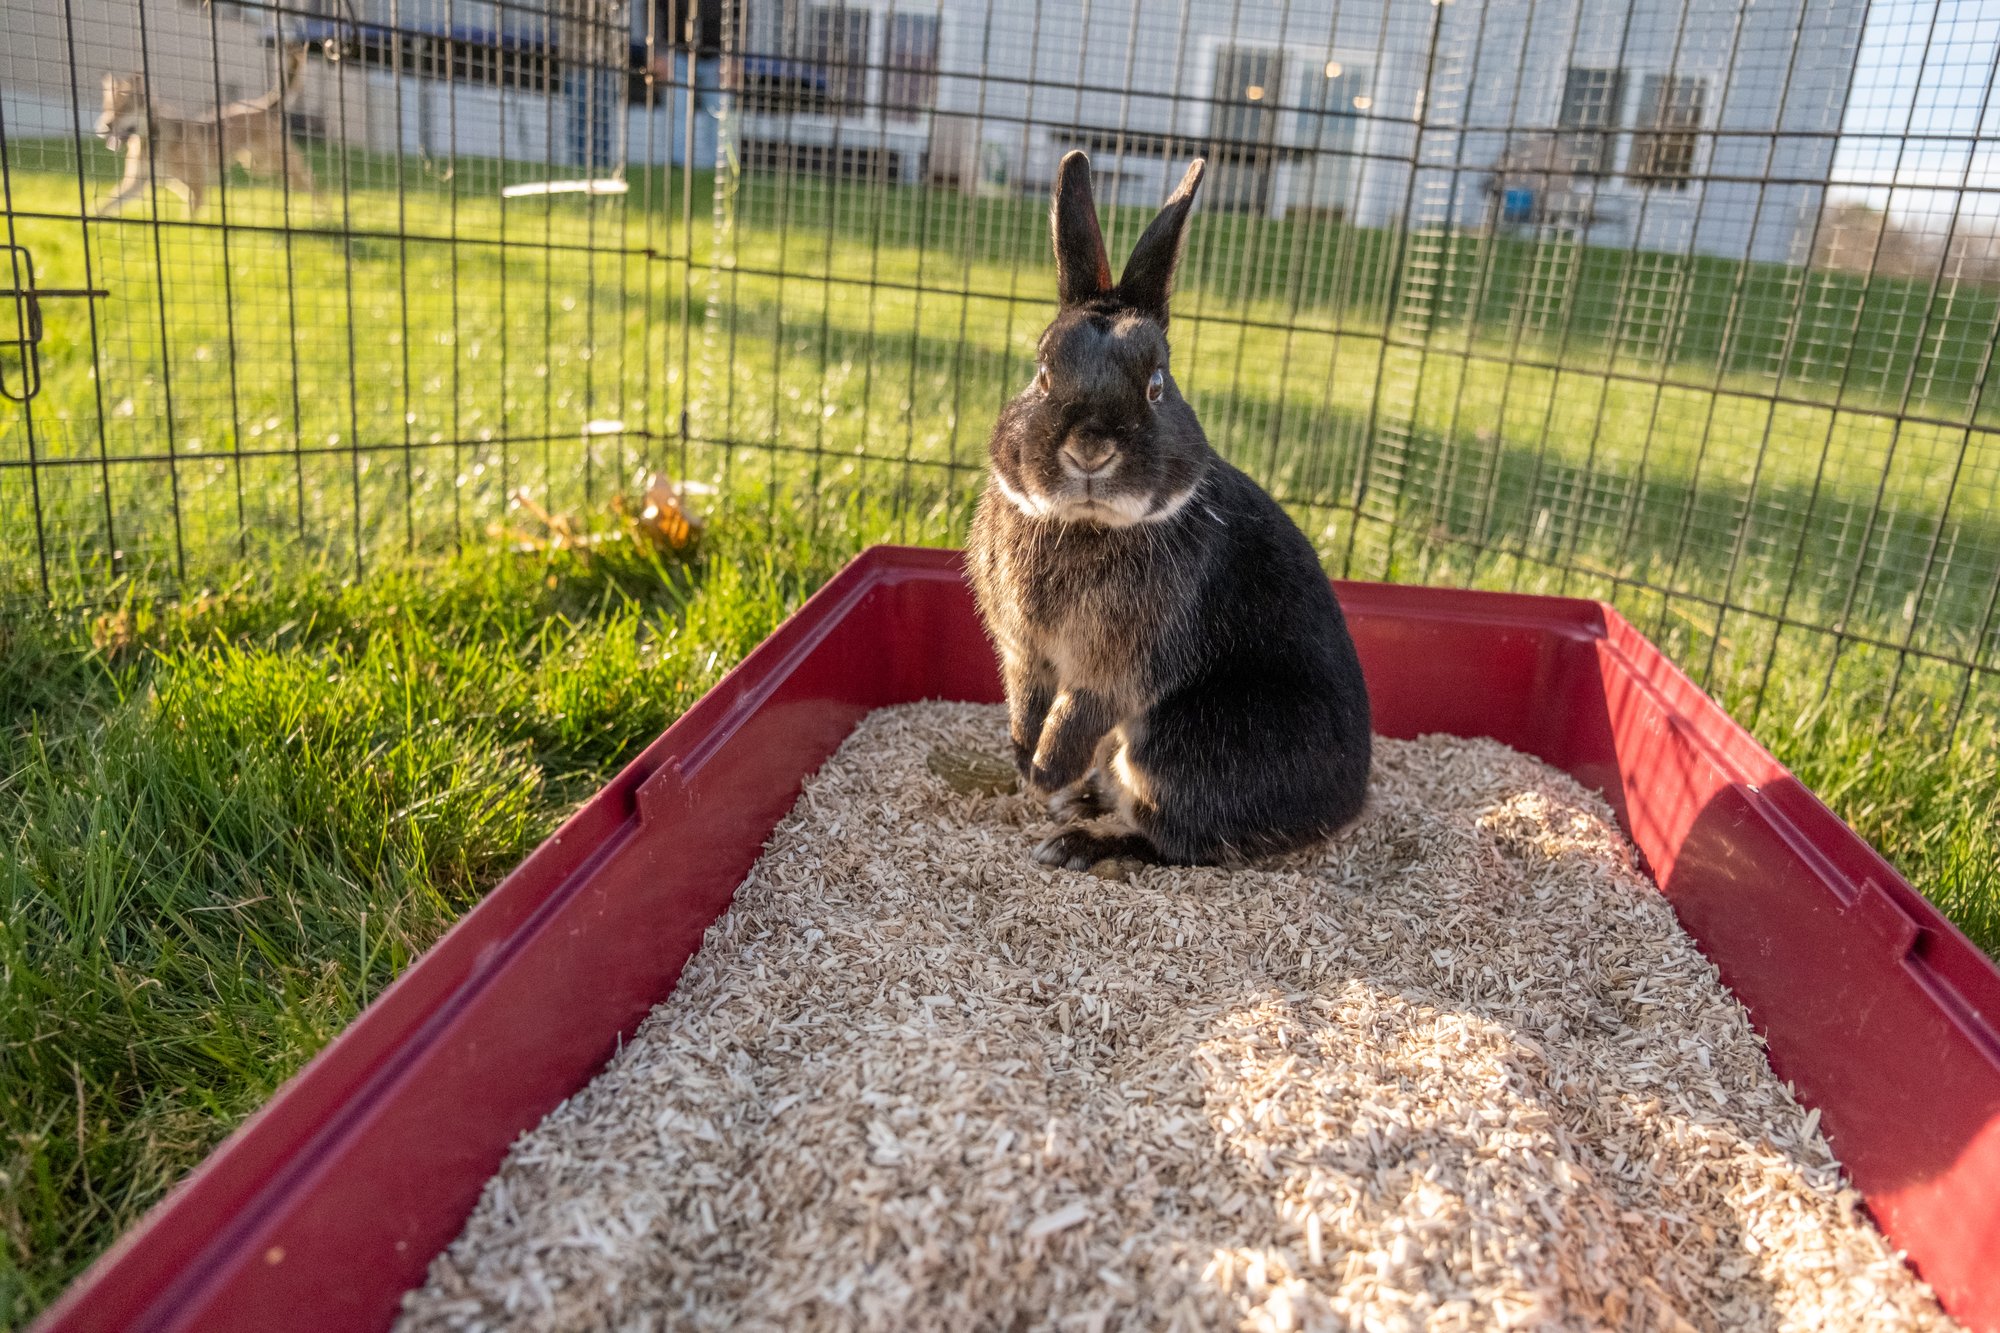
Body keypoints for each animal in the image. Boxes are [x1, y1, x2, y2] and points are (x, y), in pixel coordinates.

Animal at [967, 150, 1372, 870]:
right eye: (1042, 372)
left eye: (1157, 385)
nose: (1090, 449)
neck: (1088, 524)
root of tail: (1347, 806)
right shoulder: (1024, 652)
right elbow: (1027, 703)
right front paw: (1025, 764)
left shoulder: (1112, 670)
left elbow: (1075, 716)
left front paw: (1044, 774)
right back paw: (1081, 803)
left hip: (1181, 747)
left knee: (1178, 840)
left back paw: (1076, 840)